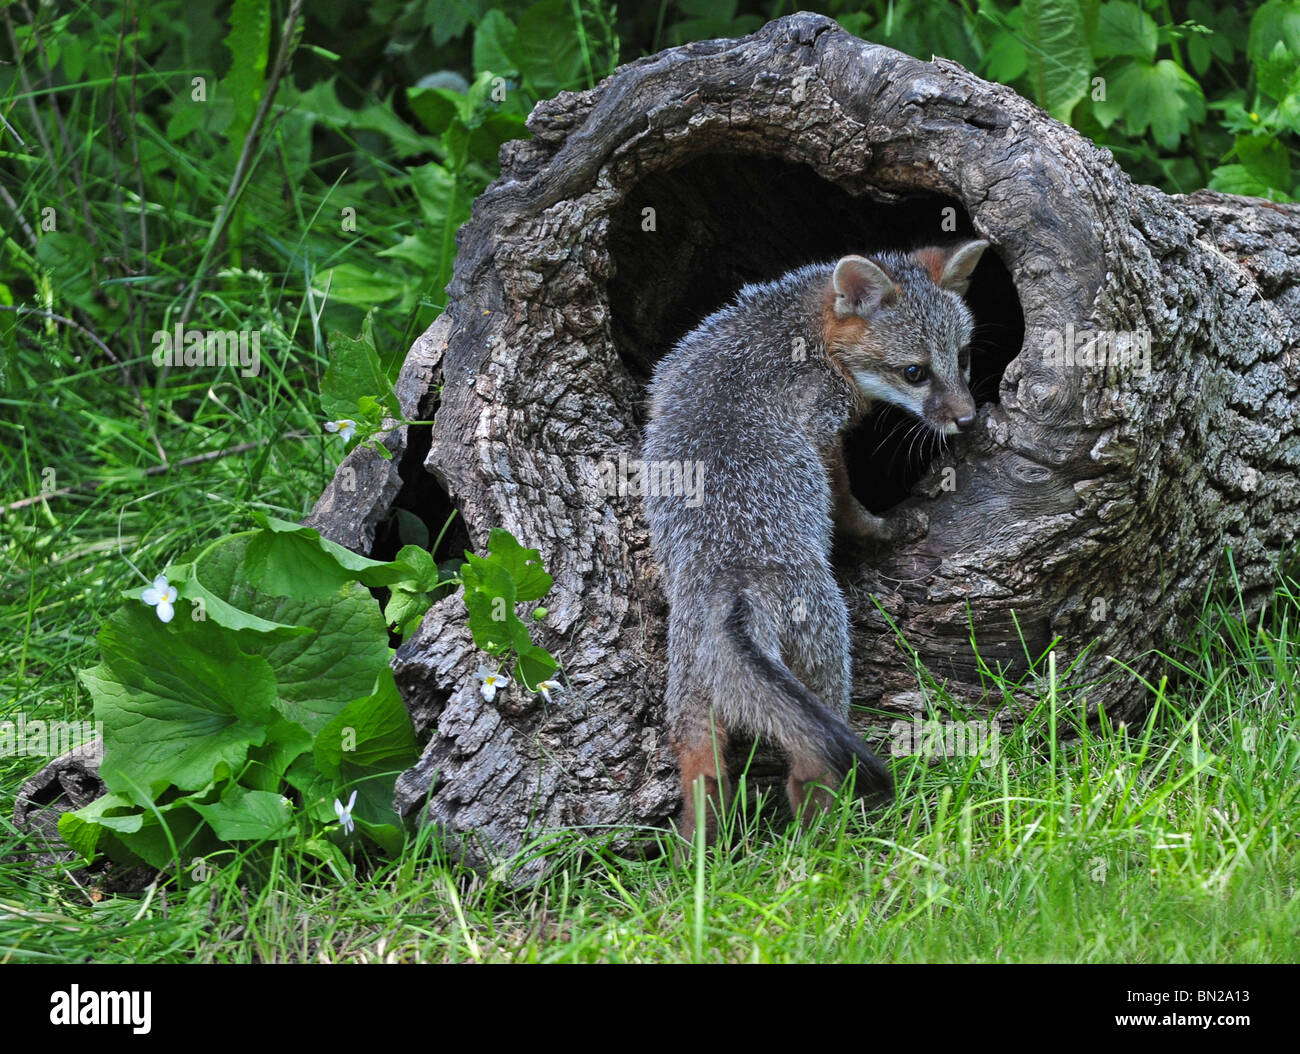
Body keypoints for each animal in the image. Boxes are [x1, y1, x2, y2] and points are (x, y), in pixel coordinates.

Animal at [642, 239, 989, 845]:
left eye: (964, 357)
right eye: (915, 372)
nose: (967, 421)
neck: (796, 322)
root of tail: (736, 587)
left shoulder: (669, 370)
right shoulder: (822, 428)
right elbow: (846, 502)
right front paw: (885, 529)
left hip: (690, 699)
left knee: (704, 773)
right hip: (828, 661)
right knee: (810, 768)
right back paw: (824, 844)